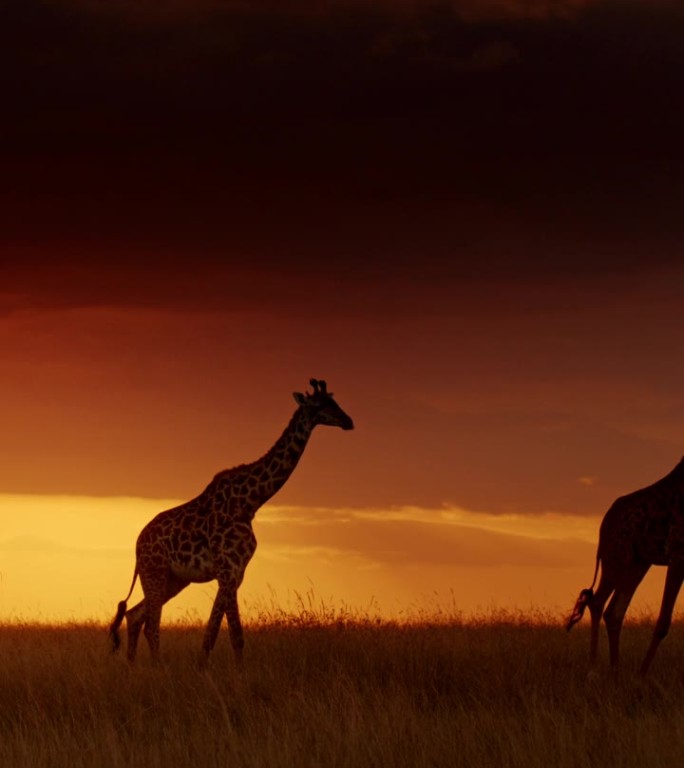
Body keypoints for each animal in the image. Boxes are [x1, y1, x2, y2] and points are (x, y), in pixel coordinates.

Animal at [108, 380, 352, 664]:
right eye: (320, 404)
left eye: (334, 401)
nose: (348, 421)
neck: (251, 502)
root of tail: (137, 545)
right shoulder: (227, 569)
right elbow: (233, 632)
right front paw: (232, 671)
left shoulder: (236, 572)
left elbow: (215, 631)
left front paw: (204, 666)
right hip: (154, 572)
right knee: (150, 623)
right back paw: (156, 668)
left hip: (174, 579)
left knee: (135, 614)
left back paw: (133, 666)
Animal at [568, 456, 684, 672]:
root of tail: (602, 529)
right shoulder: (677, 552)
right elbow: (663, 621)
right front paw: (642, 674)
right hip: (616, 559)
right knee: (599, 602)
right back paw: (594, 668)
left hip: (638, 563)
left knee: (613, 610)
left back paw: (615, 669)